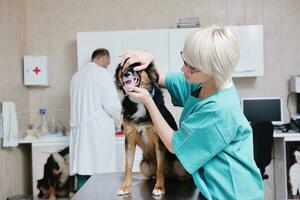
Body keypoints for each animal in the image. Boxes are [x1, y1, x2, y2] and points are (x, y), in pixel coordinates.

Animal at [115, 61, 190, 196]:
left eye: (136, 67)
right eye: (123, 68)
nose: (125, 74)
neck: (139, 102)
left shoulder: (158, 139)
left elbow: (160, 168)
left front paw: (159, 188)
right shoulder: (129, 139)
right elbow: (128, 166)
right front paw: (125, 187)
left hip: (179, 164)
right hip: (144, 166)